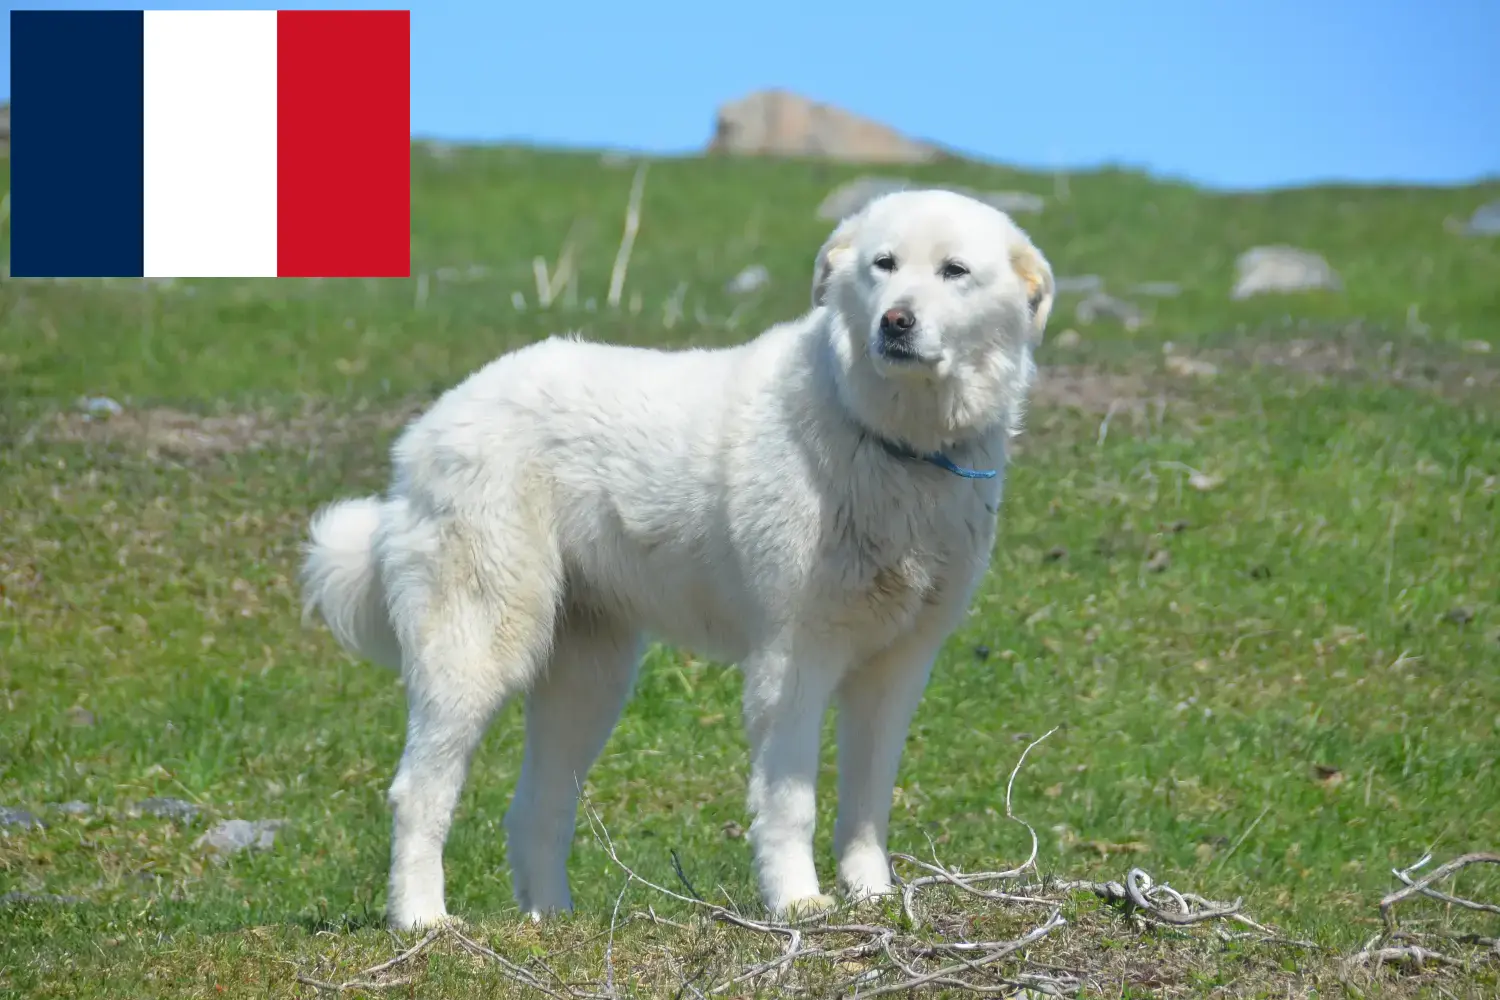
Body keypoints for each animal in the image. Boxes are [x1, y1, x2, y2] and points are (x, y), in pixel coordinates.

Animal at [298, 189, 1056, 929]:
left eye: (954, 271)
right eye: (884, 265)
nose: (896, 322)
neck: (893, 441)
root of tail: (432, 423)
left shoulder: (896, 667)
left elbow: (868, 802)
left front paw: (871, 896)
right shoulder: (793, 660)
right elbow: (790, 801)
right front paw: (798, 904)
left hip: (588, 679)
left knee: (536, 807)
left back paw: (554, 920)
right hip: (481, 645)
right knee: (418, 791)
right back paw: (422, 919)